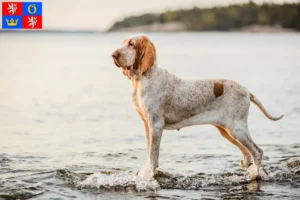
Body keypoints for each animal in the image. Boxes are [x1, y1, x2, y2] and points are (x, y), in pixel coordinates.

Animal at [110, 34, 284, 181]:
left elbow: (153, 157)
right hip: (227, 131)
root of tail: (247, 92)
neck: (143, 79)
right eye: (124, 42)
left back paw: (255, 175)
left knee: (257, 152)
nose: (113, 54)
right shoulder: (147, 124)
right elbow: (149, 154)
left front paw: (150, 177)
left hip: (237, 129)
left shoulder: (156, 125)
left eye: (131, 44)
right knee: (247, 154)